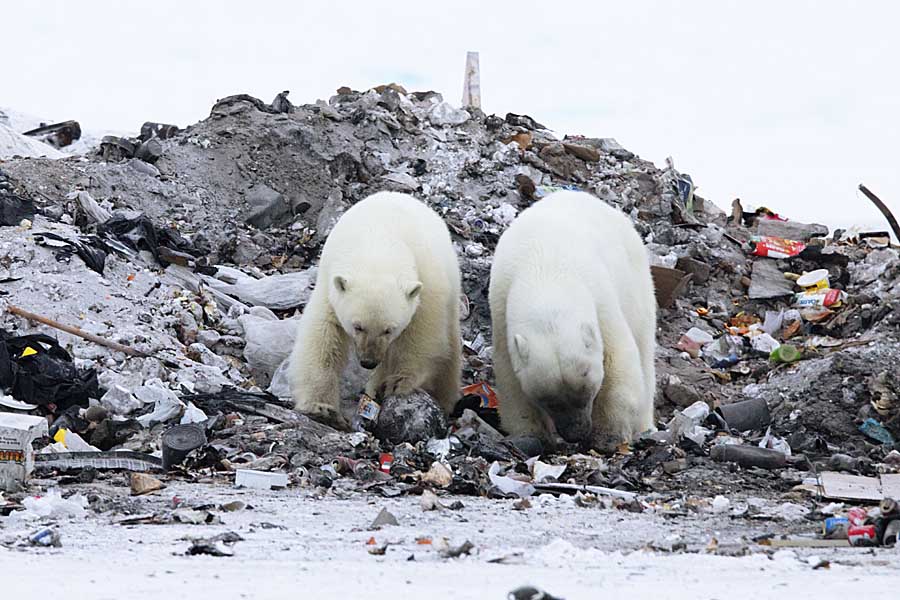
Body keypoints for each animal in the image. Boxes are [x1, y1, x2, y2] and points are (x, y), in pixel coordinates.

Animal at [288, 192, 460, 426]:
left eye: (389, 329)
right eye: (357, 326)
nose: (368, 362)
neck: (379, 243)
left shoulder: (427, 285)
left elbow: (423, 334)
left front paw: (397, 382)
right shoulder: (331, 285)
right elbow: (323, 336)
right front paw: (322, 408)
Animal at [488, 190, 656, 448]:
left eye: (586, 393)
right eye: (549, 401)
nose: (575, 434)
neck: (546, 273)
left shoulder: (601, 299)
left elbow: (618, 358)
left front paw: (608, 436)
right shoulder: (500, 307)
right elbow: (509, 377)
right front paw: (529, 436)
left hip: (636, 282)